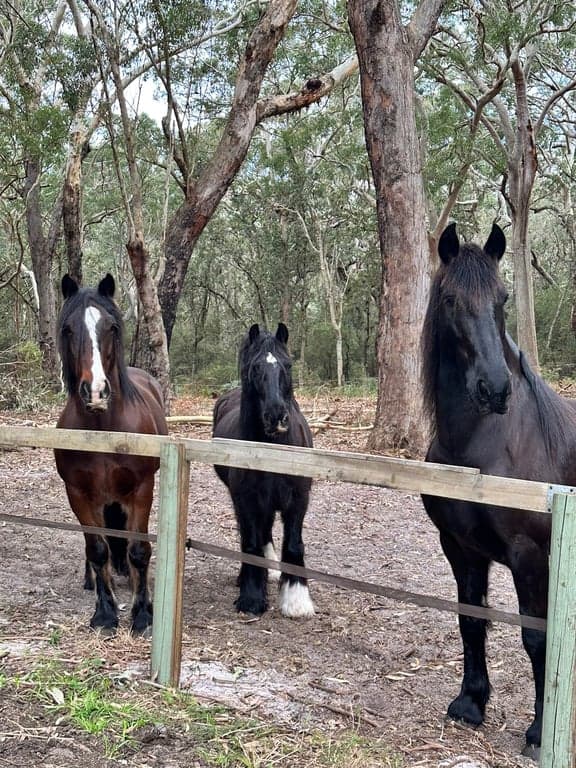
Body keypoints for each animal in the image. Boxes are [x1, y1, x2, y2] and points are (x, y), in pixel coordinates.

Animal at [54, 273, 168, 635]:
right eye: (68, 329)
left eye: (112, 328)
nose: (96, 392)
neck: (105, 427)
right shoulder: (77, 493)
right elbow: (98, 548)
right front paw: (104, 614)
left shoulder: (142, 489)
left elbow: (138, 549)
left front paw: (143, 614)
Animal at [212, 322, 315, 619]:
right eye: (255, 367)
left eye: (288, 365)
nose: (276, 417)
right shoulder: (246, 500)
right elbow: (251, 543)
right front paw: (251, 597)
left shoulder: (298, 499)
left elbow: (293, 543)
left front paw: (296, 599)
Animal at [421, 222, 576, 758]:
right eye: (450, 300)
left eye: (502, 298)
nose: (495, 389)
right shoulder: (459, 547)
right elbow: (472, 620)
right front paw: (470, 703)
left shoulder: (531, 556)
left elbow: (537, 640)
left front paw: (539, 733)